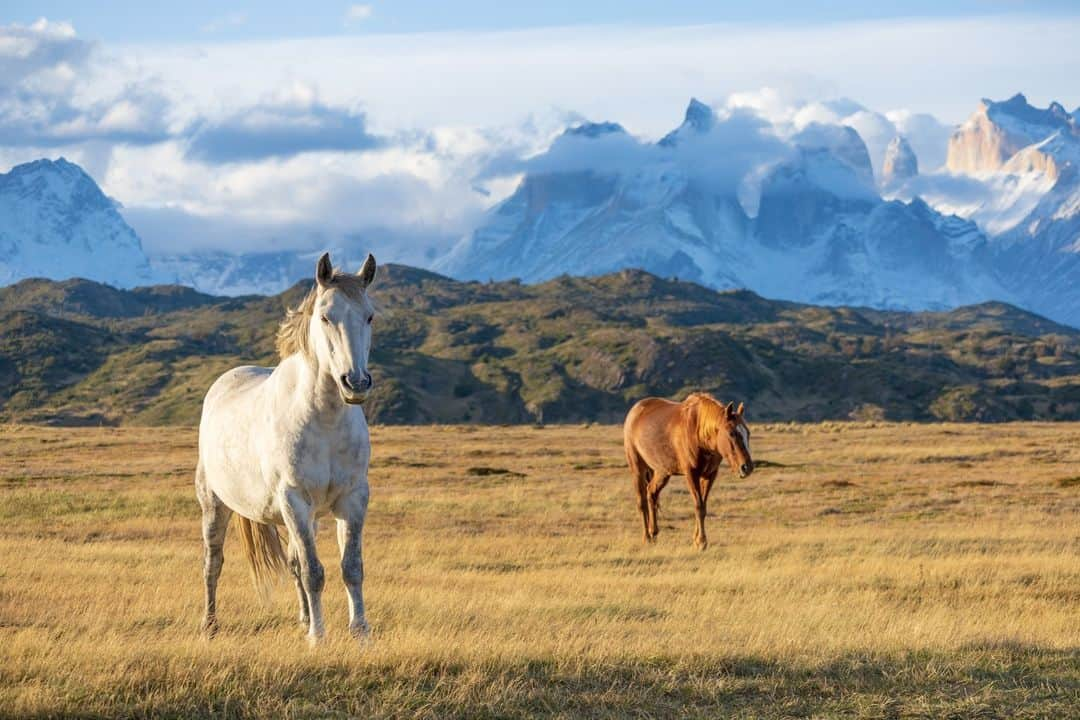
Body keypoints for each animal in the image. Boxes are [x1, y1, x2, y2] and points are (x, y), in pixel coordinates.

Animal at [196, 250, 378, 643]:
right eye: (325, 316)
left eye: (369, 315)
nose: (355, 382)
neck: (324, 422)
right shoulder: (294, 498)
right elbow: (314, 571)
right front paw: (318, 638)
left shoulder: (353, 498)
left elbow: (351, 567)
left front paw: (360, 634)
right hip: (215, 506)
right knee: (213, 563)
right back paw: (210, 625)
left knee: (294, 562)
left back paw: (303, 618)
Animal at [626, 397, 751, 548]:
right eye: (731, 433)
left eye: (748, 433)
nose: (747, 467)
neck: (698, 433)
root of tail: (635, 410)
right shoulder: (691, 475)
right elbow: (698, 506)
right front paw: (702, 542)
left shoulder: (709, 475)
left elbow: (703, 507)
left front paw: (697, 540)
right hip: (637, 468)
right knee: (642, 501)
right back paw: (646, 537)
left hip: (662, 471)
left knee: (651, 493)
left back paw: (653, 533)